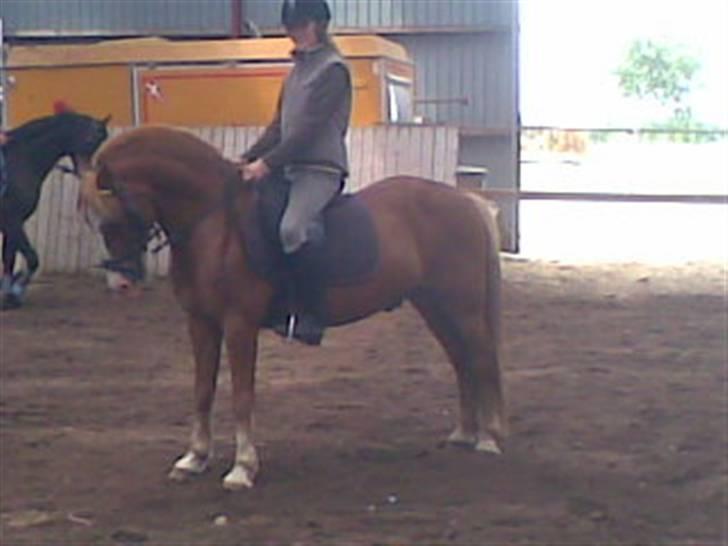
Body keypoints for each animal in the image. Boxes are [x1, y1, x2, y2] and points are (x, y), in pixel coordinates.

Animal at [0, 112, 110, 309]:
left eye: (101, 141)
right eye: (91, 140)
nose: (87, 173)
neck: (20, 160)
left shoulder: (12, 224)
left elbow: (9, 260)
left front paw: (10, 297)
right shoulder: (11, 221)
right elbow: (33, 259)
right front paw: (17, 290)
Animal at [80, 125, 506, 490]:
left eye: (112, 219)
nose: (121, 283)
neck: (215, 224)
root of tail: (463, 199)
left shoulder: (239, 324)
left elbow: (242, 395)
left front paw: (242, 468)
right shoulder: (200, 322)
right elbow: (202, 390)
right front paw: (194, 458)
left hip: (462, 307)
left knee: (482, 357)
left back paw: (488, 438)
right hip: (434, 306)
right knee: (461, 361)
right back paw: (464, 434)